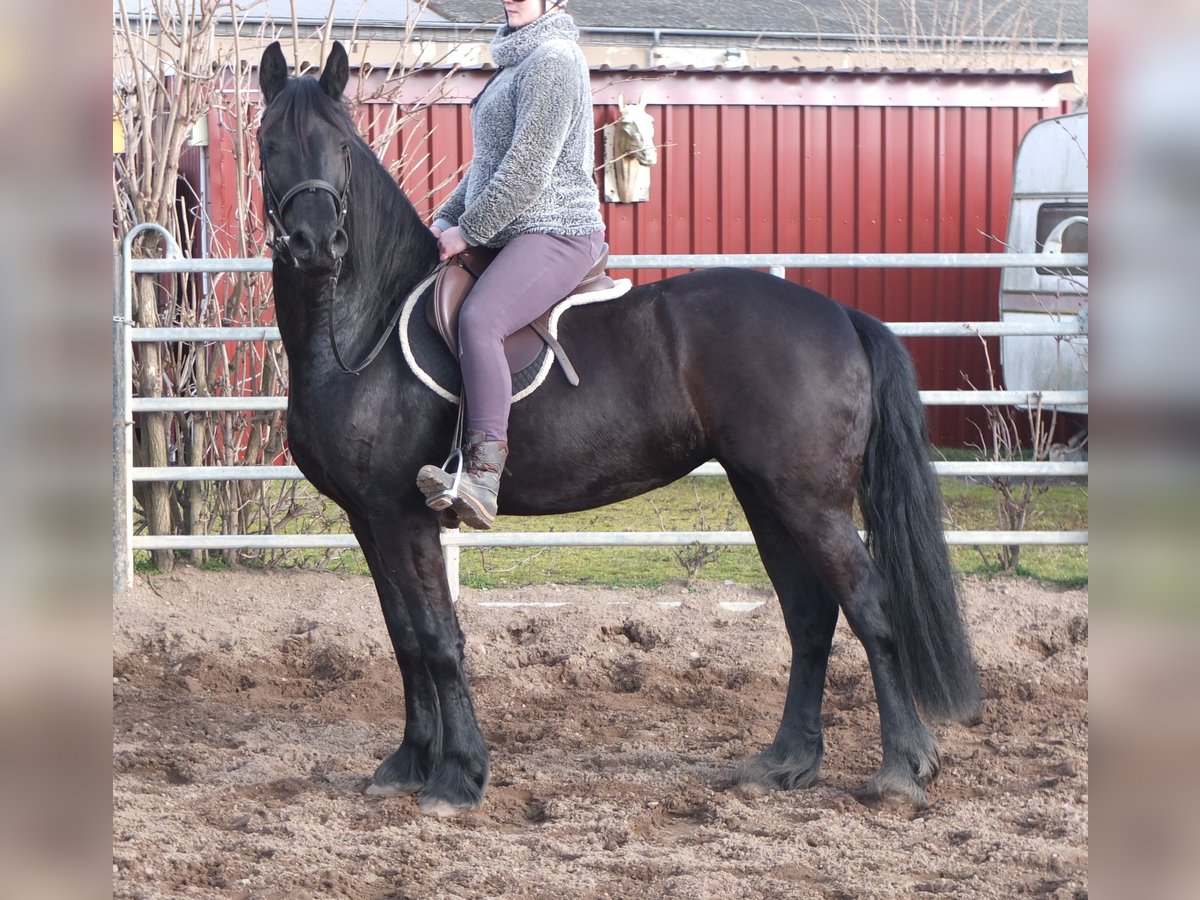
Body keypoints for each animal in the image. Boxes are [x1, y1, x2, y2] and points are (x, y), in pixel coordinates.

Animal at [258, 40, 979, 816]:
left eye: (341, 145)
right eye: (269, 144)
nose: (315, 243)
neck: (364, 325)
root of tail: (838, 313)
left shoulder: (403, 515)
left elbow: (437, 638)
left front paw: (457, 776)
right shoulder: (369, 517)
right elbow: (403, 637)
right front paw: (409, 763)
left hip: (809, 500)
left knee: (870, 606)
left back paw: (902, 767)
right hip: (767, 495)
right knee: (809, 614)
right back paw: (786, 761)